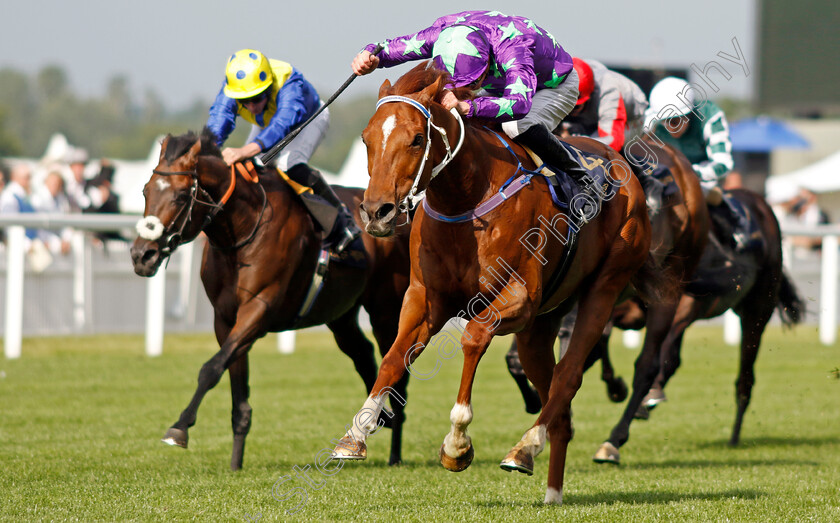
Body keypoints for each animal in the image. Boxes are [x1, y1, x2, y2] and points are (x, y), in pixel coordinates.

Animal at [127, 130, 410, 470]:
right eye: (145, 191)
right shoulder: (225, 319)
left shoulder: (259, 310)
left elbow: (211, 368)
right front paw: (235, 463)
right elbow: (234, 385)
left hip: (385, 309)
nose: (142, 255)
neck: (242, 232)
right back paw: (379, 421)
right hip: (340, 316)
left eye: (182, 196)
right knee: (363, 354)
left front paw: (179, 428)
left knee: (395, 365)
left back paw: (395, 453)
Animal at [332, 63, 668, 506]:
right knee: (556, 400)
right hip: (541, 325)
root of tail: (622, 166)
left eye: (417, 138)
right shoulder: (425, 299)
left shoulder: (517, 298)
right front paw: (356, 433)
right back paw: (552, 492)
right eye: (367, 138)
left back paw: (525, 448)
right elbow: (393, 357)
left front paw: (457, 444)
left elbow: (474, 337)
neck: (467, 199)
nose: (376, 212)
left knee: (568, 376)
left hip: (604, 287)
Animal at [592, 187, 804, 462]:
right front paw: (617, 387)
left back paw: (734, 436)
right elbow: (603, 338)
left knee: (745, 378)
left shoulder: (682, 303)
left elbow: (654, 358)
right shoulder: (630, 309)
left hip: (757, 311)